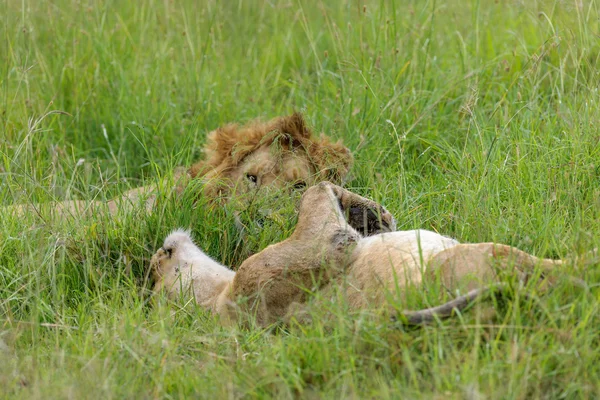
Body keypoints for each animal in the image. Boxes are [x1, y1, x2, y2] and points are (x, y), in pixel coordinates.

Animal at [149, 183, 592, 326]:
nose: (157, 252)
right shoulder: (304, 256)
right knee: (562, 271)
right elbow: (314, 194)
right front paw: (358, 209)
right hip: (467, 260)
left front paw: (368, 213)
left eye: (154, 275)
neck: (220, 297)